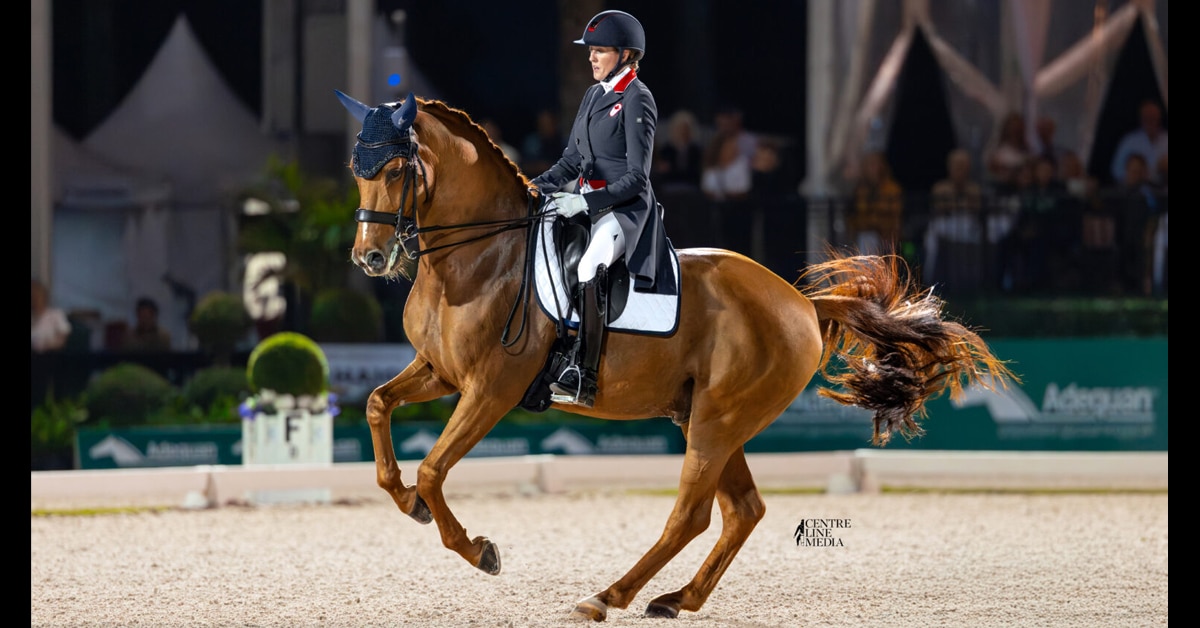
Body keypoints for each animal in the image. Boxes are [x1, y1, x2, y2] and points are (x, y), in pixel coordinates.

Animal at [335, 91, 1016, 621]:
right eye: (355, 169)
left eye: (394, 170)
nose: (369, 258)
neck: (479, 258)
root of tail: (800, 302)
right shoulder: (441, 372)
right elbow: (376, 406)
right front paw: (407, 502)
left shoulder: (492, 389)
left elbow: (433, 467)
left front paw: (477, 549)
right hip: (707, 417)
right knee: (743, 510)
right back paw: (675, 599)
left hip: (718, 419)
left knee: (691, 514)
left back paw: (608, 596)